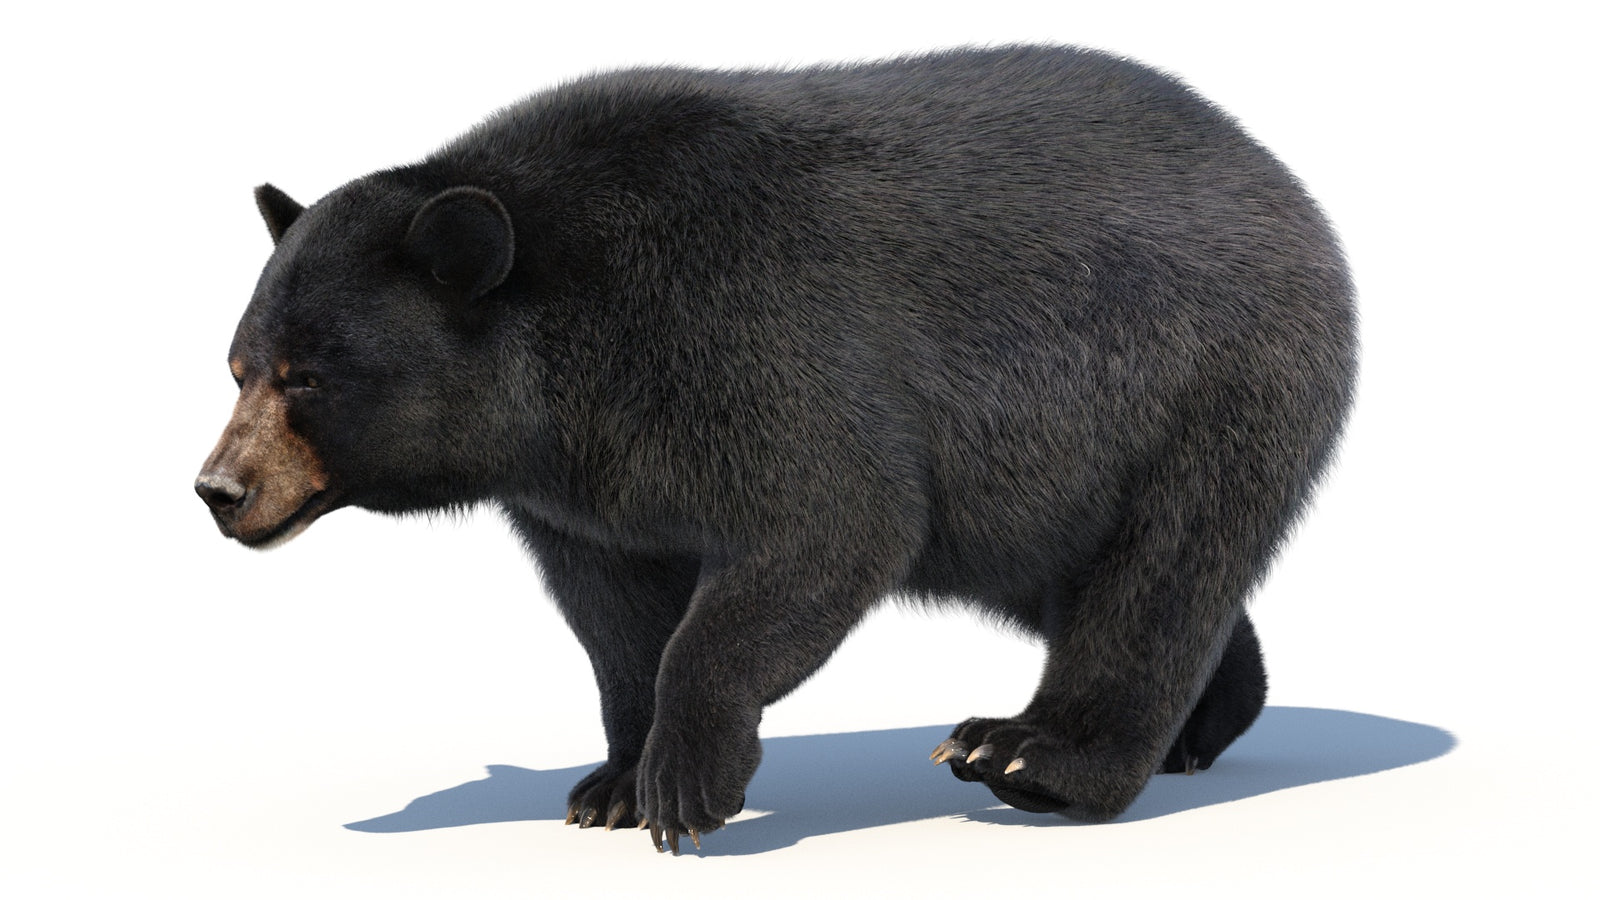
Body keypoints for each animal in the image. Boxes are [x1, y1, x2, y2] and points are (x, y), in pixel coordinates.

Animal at [196, 45, 1356, 854]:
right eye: (239, 365)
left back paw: (1032, 754)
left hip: (1202, 383)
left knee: (1164, 565)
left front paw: (685, 786)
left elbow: (829, 523)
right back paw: (1205, 723)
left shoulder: (745, 336)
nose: (219, 489)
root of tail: (1282, 180)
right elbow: (614, 612)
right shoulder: (581, 483)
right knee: (1093, 576)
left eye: (309, 376)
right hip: (1047, 488)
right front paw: (612, 783)